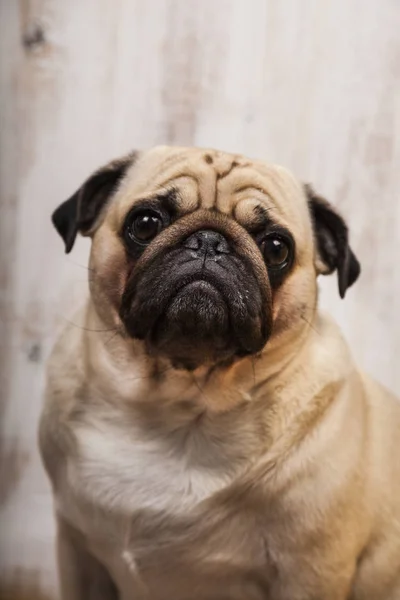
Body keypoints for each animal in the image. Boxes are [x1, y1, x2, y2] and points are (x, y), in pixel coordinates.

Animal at [39, 146, 400, 600]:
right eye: (145, 223)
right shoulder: (76, 549)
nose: (210, 241)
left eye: (277, 248)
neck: (175, 404)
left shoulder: (311, 572)